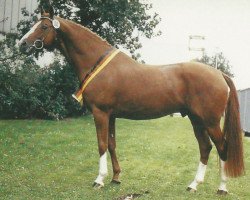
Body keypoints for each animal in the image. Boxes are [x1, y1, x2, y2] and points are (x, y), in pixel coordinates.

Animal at [19, 5, 244, 194]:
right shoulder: (111, 115)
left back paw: (222, 188)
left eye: (44, 26)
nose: (22, 44)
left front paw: (99, 179)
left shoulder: (100, 113)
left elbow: (101, 144)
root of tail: (219, 73)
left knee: (222, 148)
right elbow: (111, 144)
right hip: (196, 119)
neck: (98, 63)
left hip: (210, 121)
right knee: (205, 147)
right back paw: (193, 185)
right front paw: (116, 177)